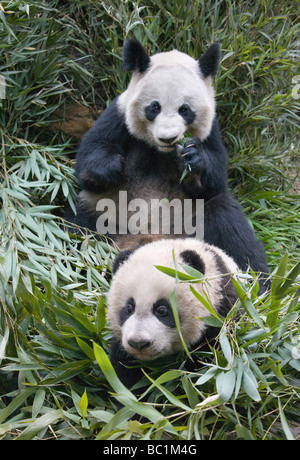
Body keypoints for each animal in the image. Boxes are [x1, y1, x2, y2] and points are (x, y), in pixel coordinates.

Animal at [70, 37, 268, 278]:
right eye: (154, 107)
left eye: (185, 110)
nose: (168, 138)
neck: (161, 152)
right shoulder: (117, 115)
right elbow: (90, 157)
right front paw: (111, 166)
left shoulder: (211, 131)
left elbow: (215, 178)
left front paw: (192, 157)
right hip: (104, 213)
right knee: (76, 229)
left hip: (192, 221)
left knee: (231, 230)